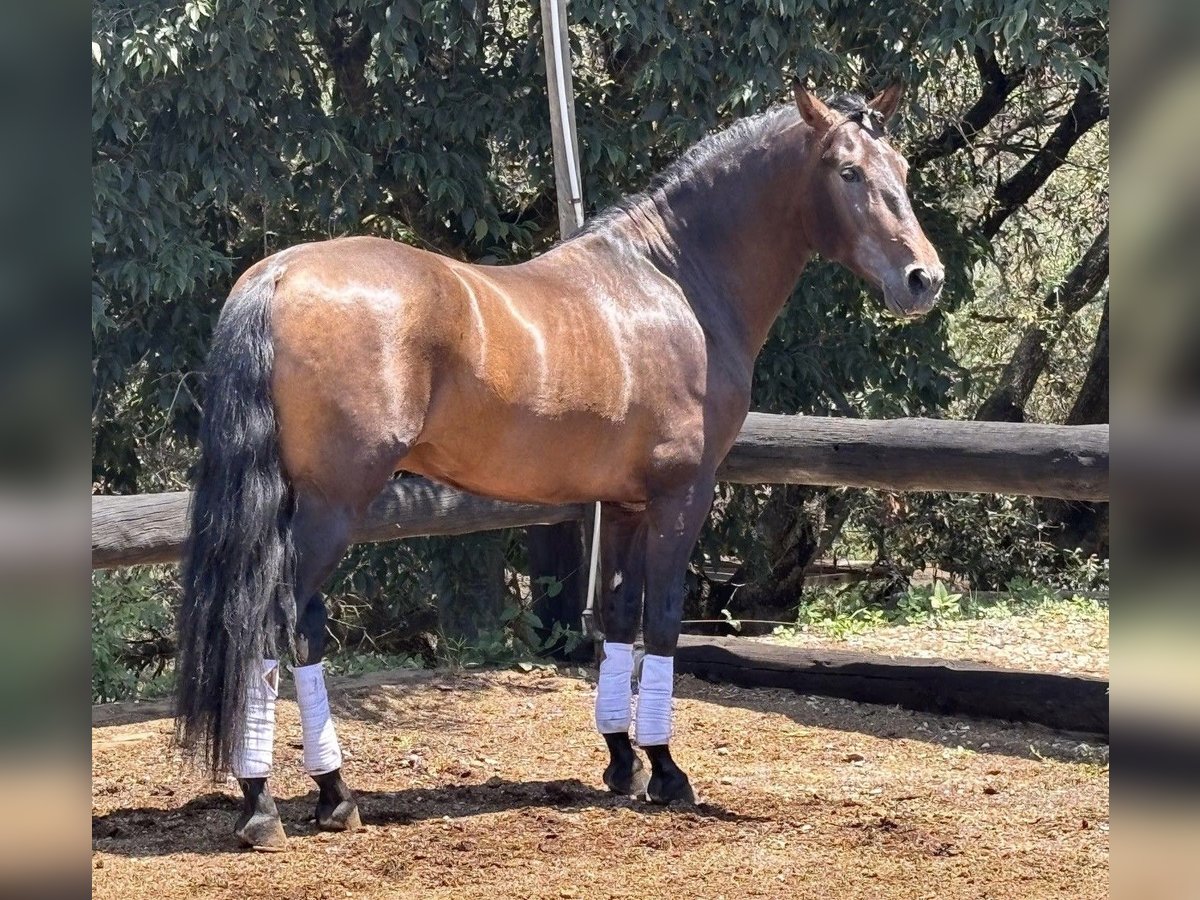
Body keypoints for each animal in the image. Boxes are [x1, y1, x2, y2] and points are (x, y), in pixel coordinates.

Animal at [175, 84, 945, 854]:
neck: (673, 281)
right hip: (334, 506)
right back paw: (269, 805)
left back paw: (328, 794)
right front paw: (668, 772)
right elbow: (664, 621)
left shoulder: (626, 504)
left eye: (903, 167)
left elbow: (619, 619)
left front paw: (623, 761)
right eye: (847, 170)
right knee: (272, 624)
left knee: (293, 626)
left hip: (294, 505)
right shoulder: (682, 495)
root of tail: (279, 272)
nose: (924, 279)